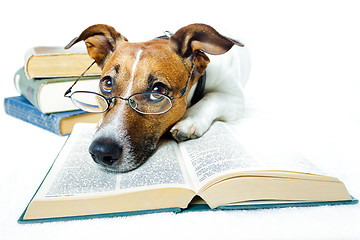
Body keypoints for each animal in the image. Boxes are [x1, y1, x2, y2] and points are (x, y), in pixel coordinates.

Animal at [65, 23, 250, 172]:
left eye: (158, 90)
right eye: (108, 83)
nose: (101, 151)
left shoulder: (236, 99)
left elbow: (212, 97)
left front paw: (190, 120)